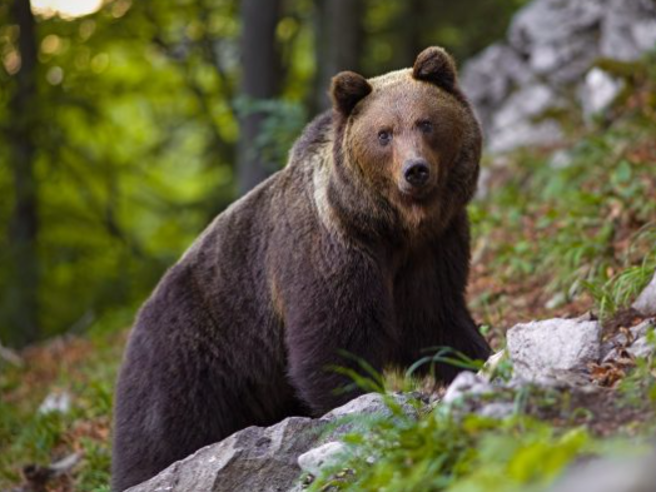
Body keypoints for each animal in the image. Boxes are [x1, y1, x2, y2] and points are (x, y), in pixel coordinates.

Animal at [113, 47, 490, 492]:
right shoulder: (329, 253)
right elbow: (333, 343)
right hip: (187, 360)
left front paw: (478, 360)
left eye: (426, 122)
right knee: (160, 436)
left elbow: (437, 321)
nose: (415, 170)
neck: (388, 228)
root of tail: (135, 322)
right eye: (384, 134)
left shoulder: (432, 250)